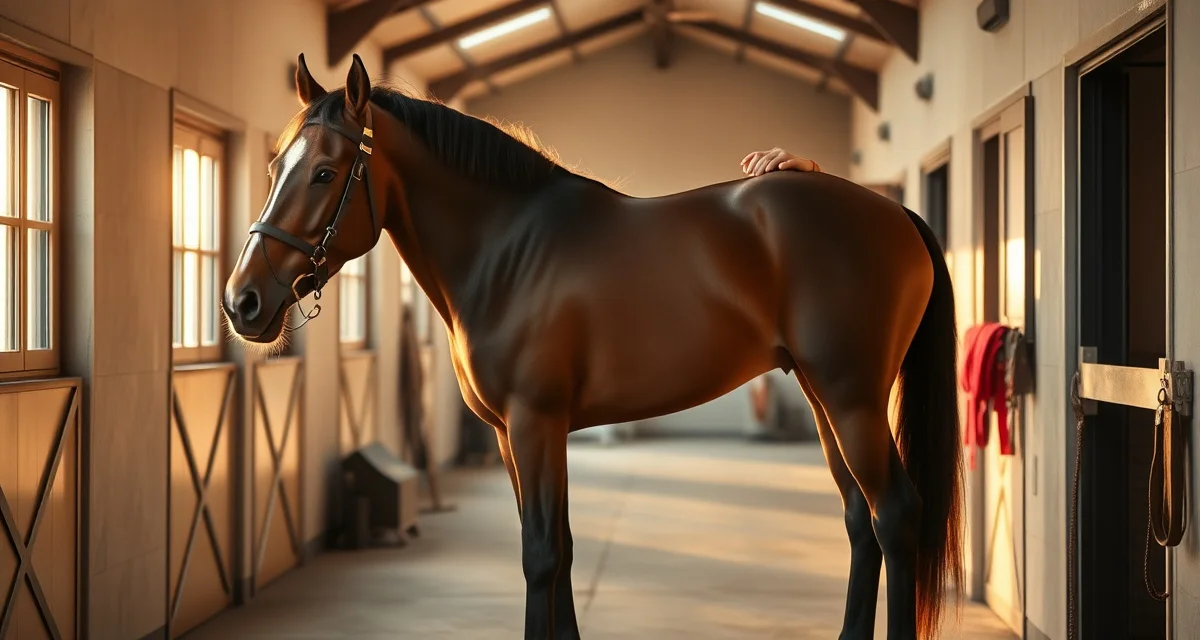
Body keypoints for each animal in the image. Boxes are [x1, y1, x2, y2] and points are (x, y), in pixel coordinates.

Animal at [222, 53, 964, 640]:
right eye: (274, 165)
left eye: (325, 172)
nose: (242, 302)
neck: (508, 249)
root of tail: (893, 212)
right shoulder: (516, 433)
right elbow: (565, 550)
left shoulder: (535, 421)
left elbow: (540, 555)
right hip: (823, 398)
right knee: (861, 520)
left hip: (852, 400)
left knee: (896, 515)